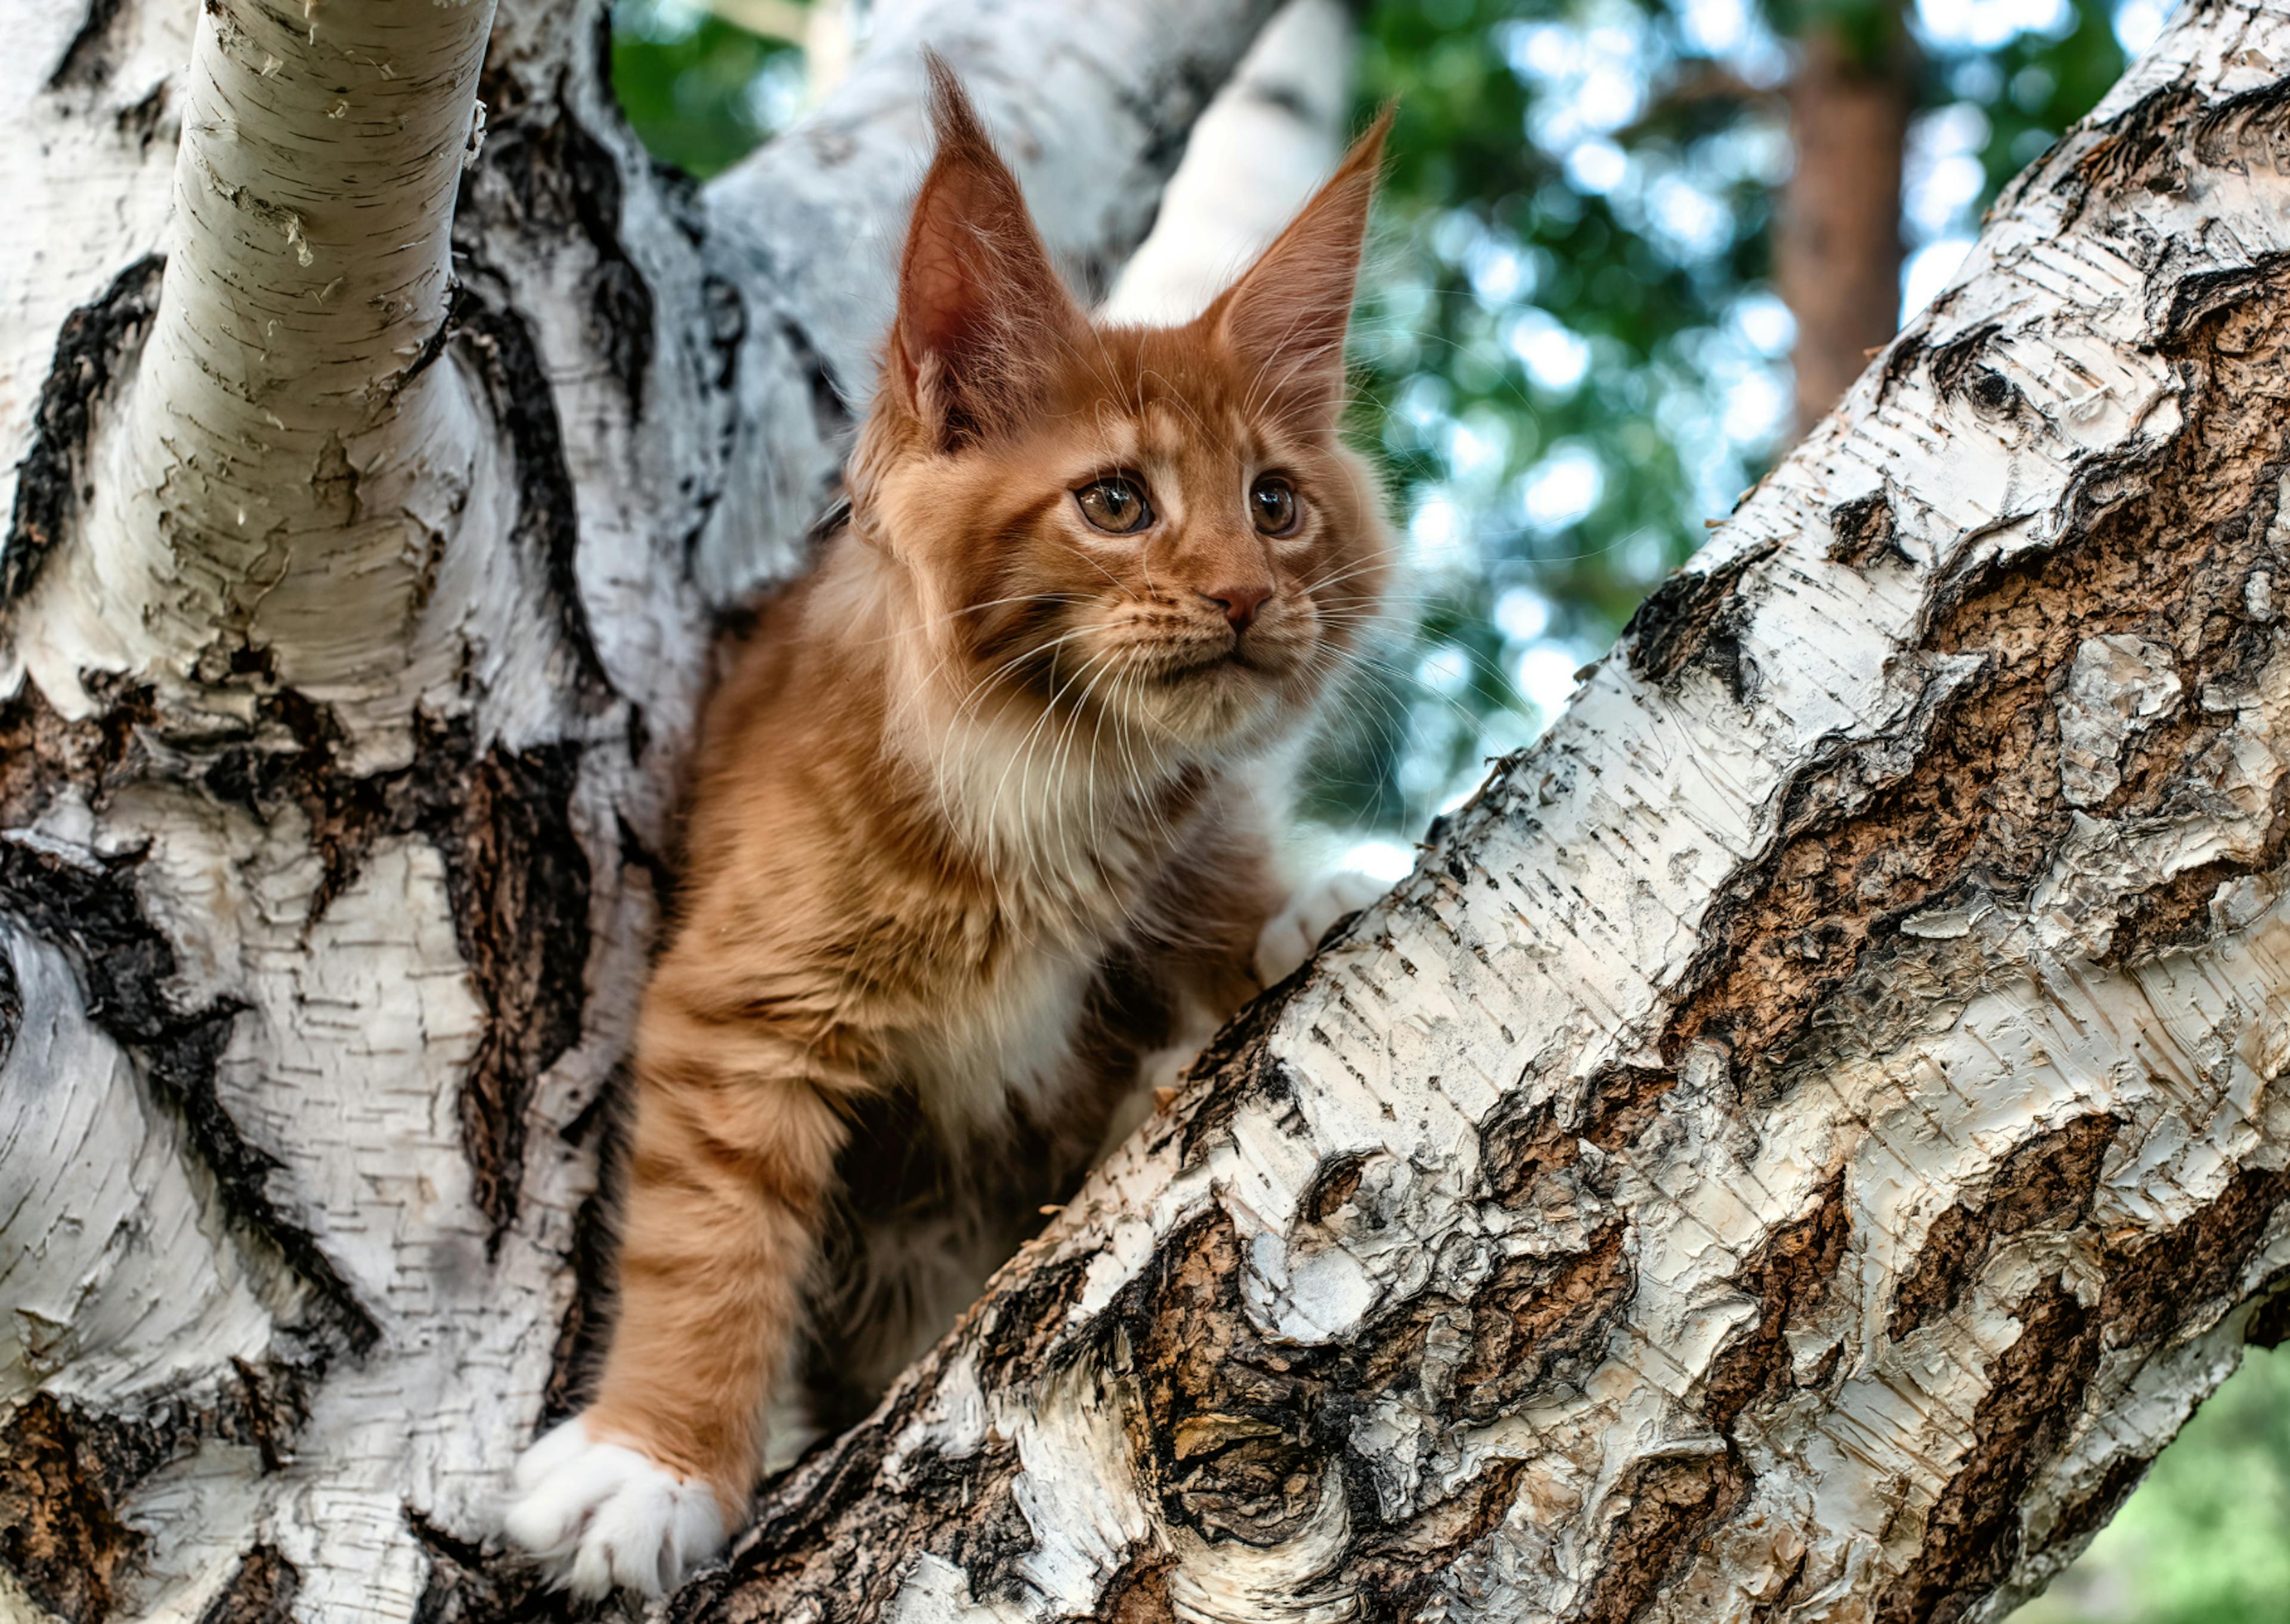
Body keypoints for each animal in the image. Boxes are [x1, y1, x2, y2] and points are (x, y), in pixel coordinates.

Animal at [503, 57, 1392, 1594]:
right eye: (1117, 501)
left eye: (1275, 505)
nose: (1243, 595)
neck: (1049, 776)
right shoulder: (743, 1005)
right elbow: (706, 1243)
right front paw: (652, 1458)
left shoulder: (1183, 843)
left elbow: (1217, 900)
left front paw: (1297, 908)